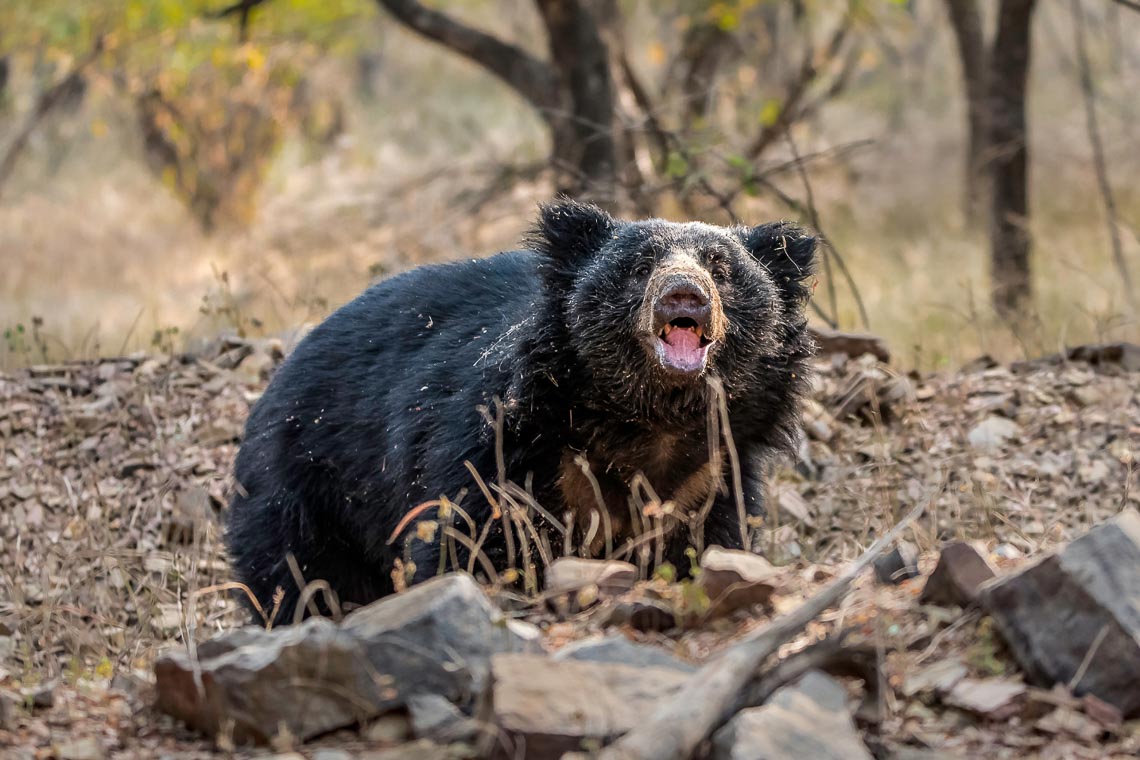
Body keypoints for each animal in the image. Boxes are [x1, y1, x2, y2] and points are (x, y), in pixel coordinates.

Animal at [229, 199, 820, 619]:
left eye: (721, 269)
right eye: (639, 267)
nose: (683, 295)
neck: (652, 418)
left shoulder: (710, 473)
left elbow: (711, 542)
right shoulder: (505, 441)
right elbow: (473, 535)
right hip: (308, 481)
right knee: (299, 572)